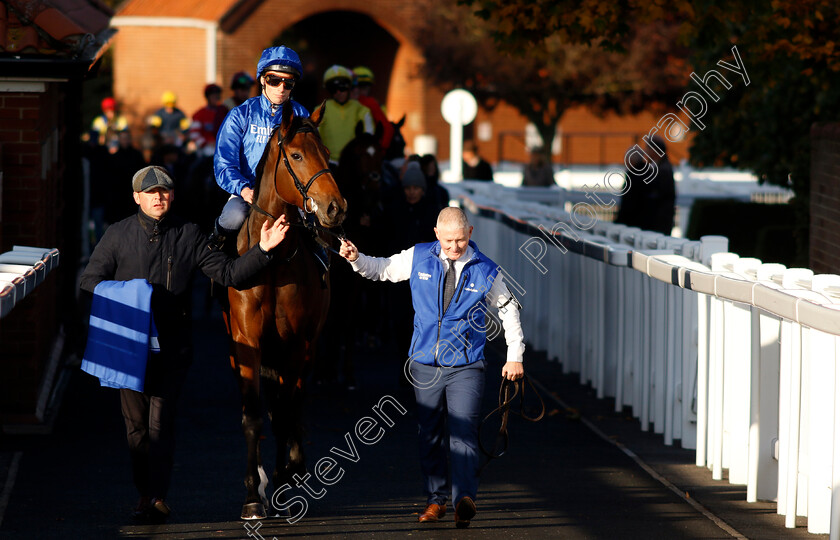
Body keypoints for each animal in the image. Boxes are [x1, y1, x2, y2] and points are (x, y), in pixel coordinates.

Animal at [225, 100, 346, 520]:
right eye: (296, 155)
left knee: (291, 403)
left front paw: (285, 474)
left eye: (326, 152)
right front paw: (251, 495)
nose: (335, 208)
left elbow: (286, 410)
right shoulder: (246, 342)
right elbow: (252, 415)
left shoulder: (297, 342)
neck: (272, 260)